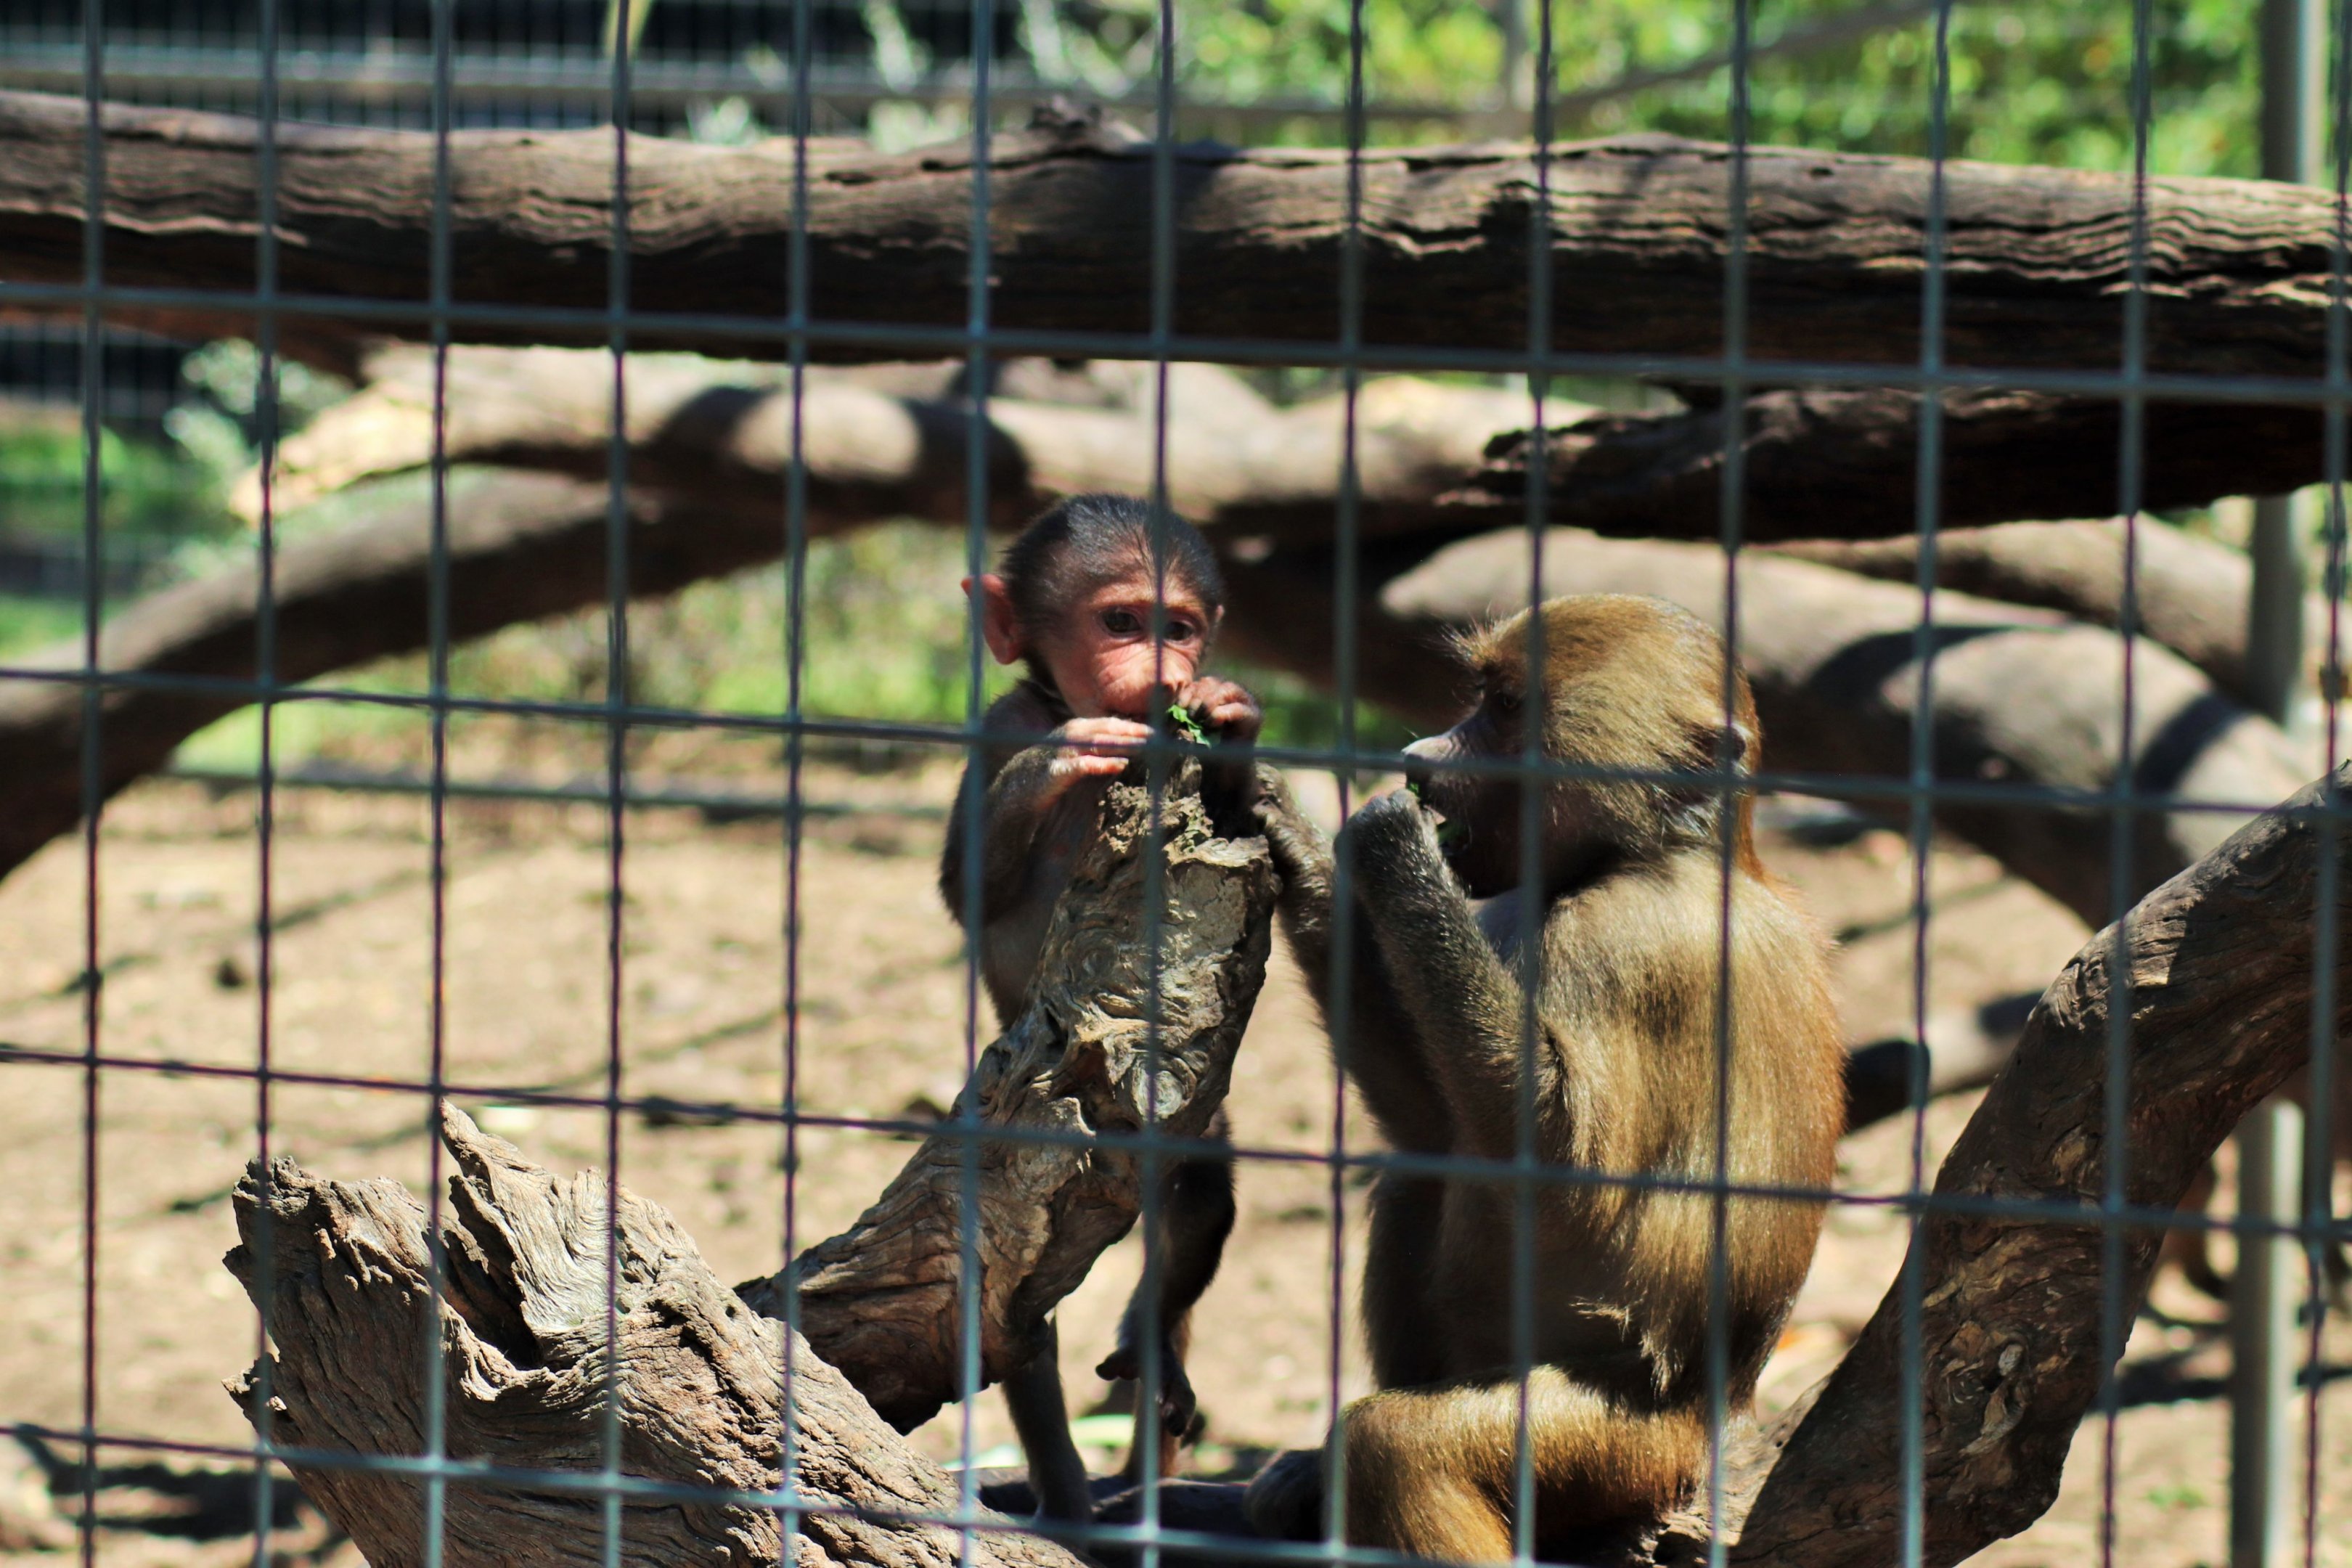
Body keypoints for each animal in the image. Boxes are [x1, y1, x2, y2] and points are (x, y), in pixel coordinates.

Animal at [938, 493, 1262, 1523]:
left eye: (1183, 628)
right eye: (1122, 621)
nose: (1169, 673)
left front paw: (1232, 722)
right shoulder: (997, 723)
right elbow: (967, 888)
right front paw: (1060, 759)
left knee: (1199, 1199)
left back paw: (1148, 1359)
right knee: (1013, 1317)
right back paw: (1065, 1494)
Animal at [1241, 593, 1846, 1562]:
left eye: (1508, 709)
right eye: (1479, 695)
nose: (1418, 760)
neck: (1649, 853)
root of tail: (1713, 1424)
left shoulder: (1628, 944)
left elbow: (1571, 1180)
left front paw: (1393, 848)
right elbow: (1435, 1125)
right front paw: (1282, 823)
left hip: (1618, 1447)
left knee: (1399, 1449)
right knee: (1418, 1174)